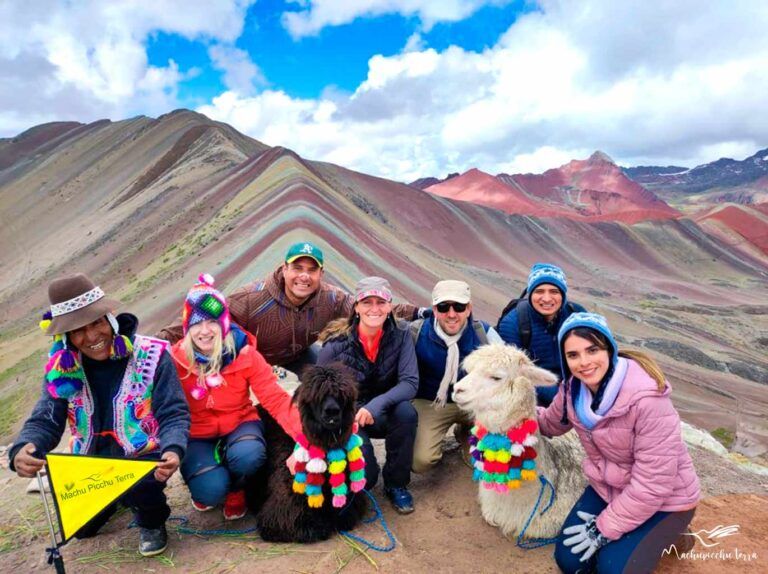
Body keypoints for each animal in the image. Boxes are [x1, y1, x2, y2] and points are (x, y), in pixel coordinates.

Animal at [246, 366, 366, 544]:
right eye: (316, 397)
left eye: (342, 396)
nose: (332, 412)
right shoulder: (284, 510)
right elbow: (310, 528)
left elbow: (346, 517)